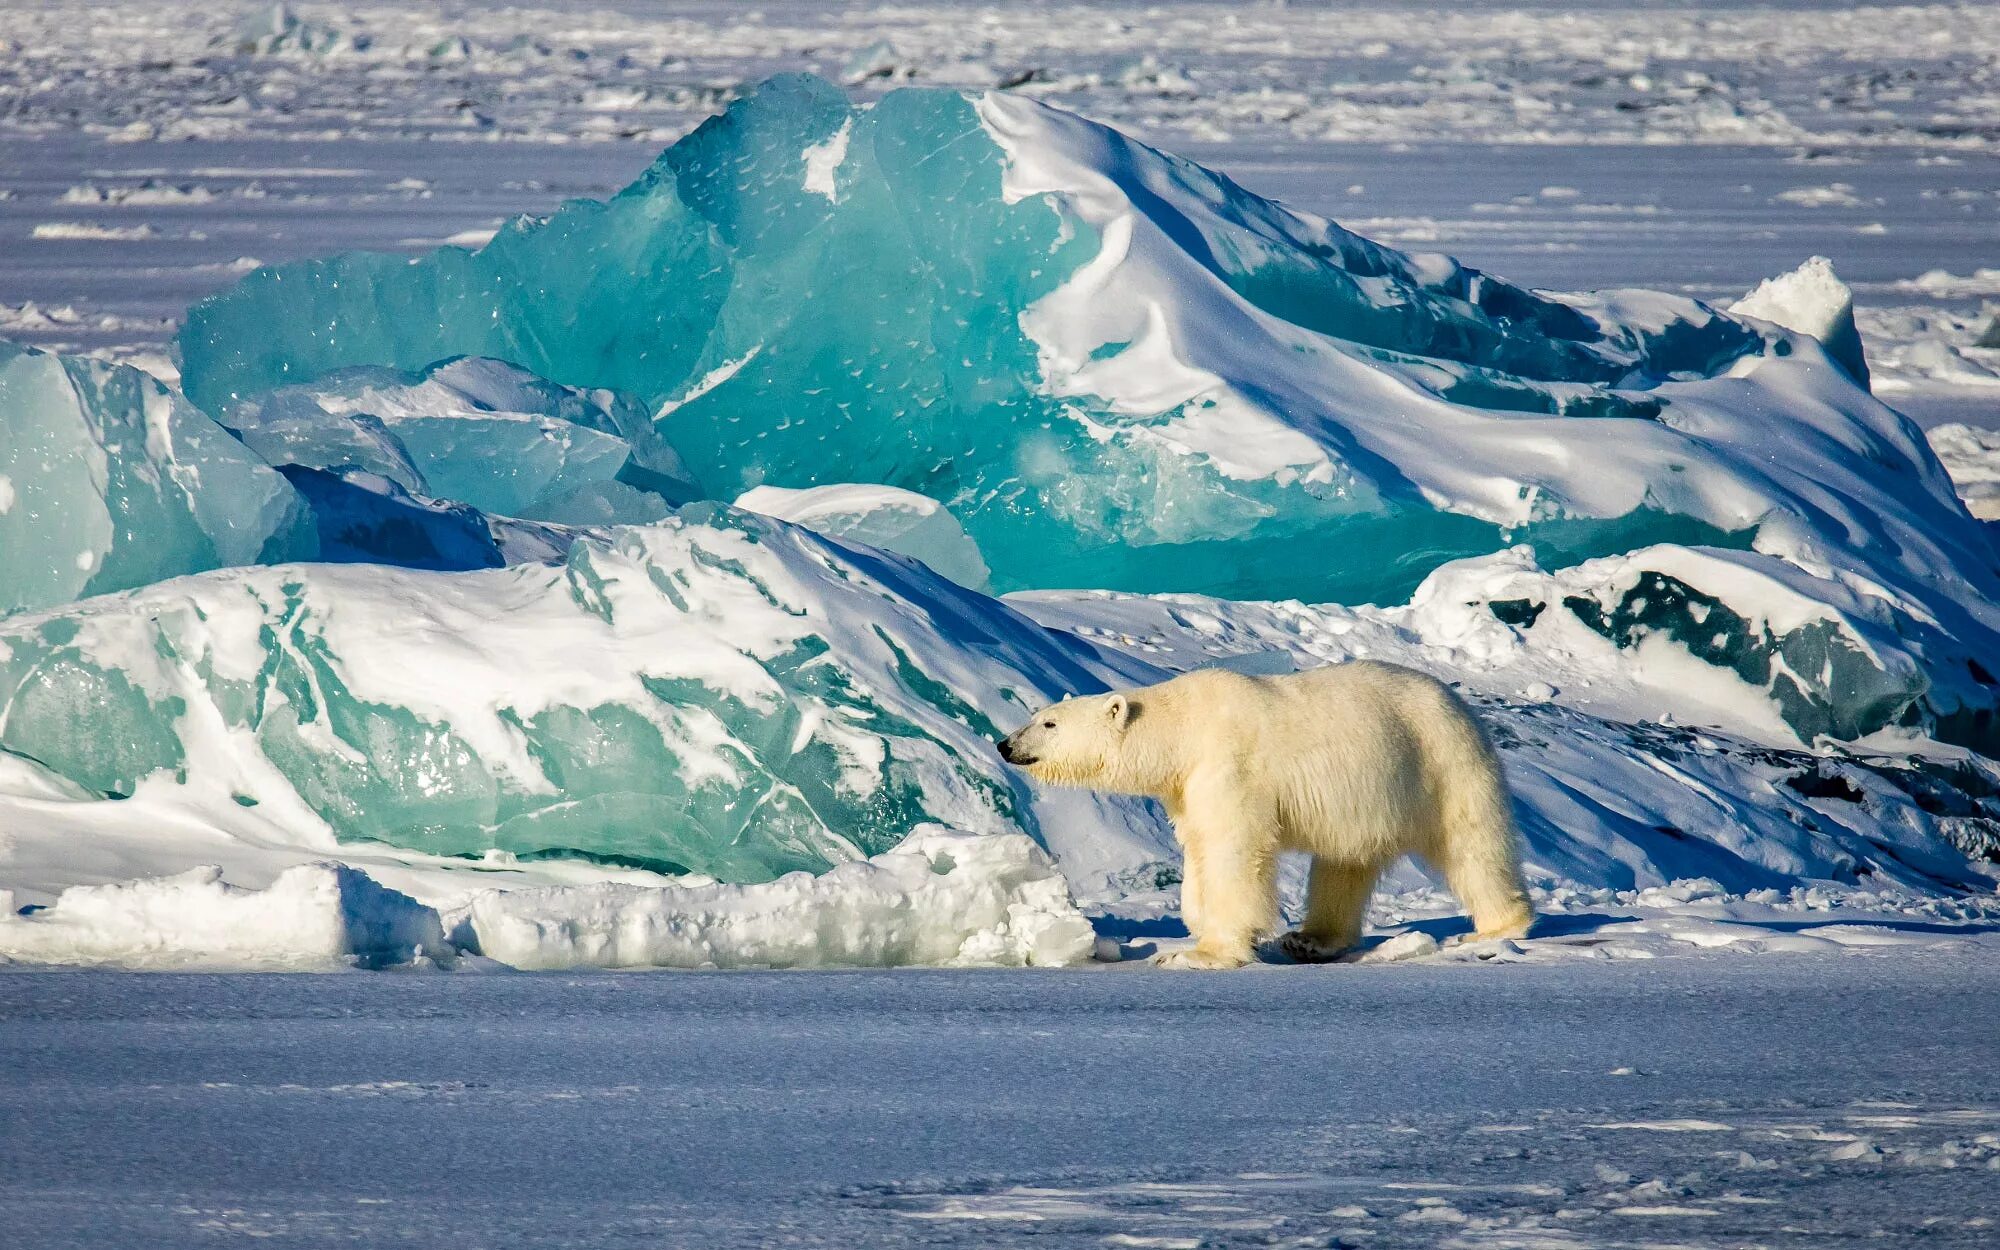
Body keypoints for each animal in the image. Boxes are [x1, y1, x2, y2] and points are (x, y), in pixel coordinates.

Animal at [996, 660, 1528, 972]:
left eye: (1049, 723)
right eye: (1037, 716)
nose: (1005, 744)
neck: (1183, 728)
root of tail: (1460, 702)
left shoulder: (1230, 765)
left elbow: (1232, 848)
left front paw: (1200, 953)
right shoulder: (1187, 786)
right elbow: (1198, 845)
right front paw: (1194, 924)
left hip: (1440, 762)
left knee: (1471, 844)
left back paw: (1497, 926)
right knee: (1342, 865)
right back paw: (1311, 940)